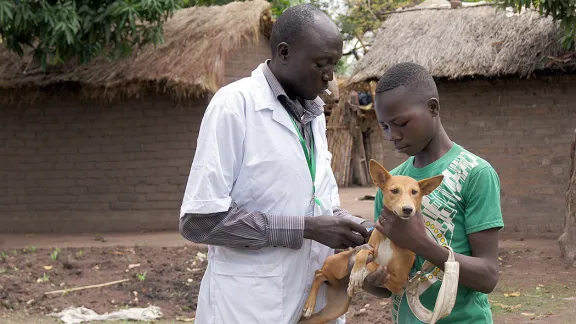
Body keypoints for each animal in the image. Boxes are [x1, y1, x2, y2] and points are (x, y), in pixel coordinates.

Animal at [300, 158, 444, 322]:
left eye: (415, 192)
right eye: (394, 191)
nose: (408, 209)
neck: (389, 238)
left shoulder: (399, 282)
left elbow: (375, 265)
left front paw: (358, 275)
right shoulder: (369, 247)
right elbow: (364, 254)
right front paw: (357, 272)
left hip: (336, 308)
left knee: (320, 279)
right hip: (338, 266)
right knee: (318, 272)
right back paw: (309, 305)